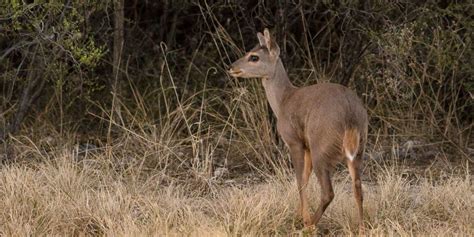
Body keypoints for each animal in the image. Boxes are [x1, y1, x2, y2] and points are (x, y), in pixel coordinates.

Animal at [228, 29, 368, 233]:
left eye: (254, 57)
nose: (231, 68)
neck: (284, 100)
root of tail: (350, 113)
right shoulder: (306, 146)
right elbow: (305, 179)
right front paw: (298, 216)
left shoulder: (294, 142)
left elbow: (300, 181)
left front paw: (303, 220)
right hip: (358, 149)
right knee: (358, 187)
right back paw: (361, 228)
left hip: (321, 148)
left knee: (328, 192)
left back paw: (309, 228)